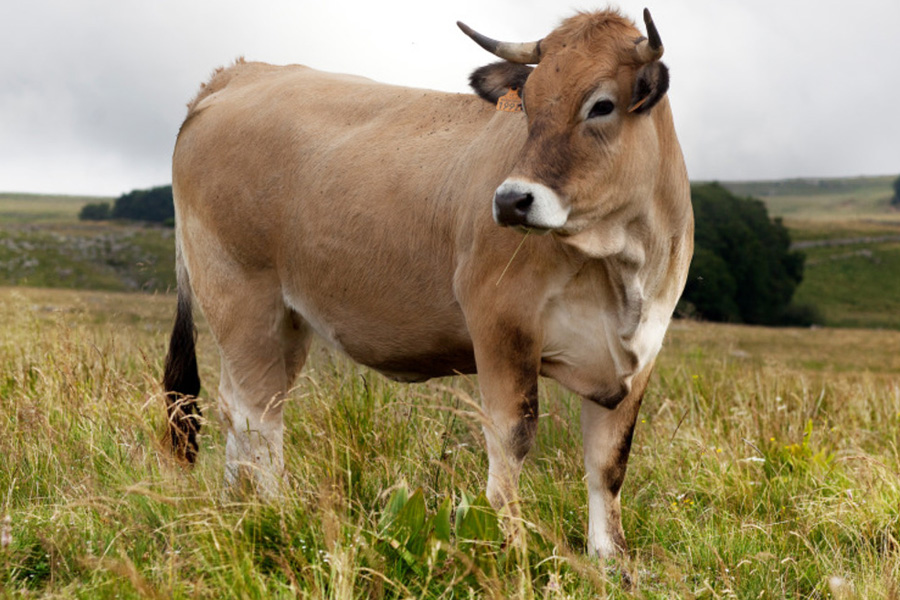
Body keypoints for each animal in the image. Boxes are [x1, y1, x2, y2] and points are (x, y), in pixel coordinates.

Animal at [163, 7, 696, 560]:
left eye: (602, 105)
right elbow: (511, 437)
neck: (621, 269)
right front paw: (509, 547)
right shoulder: (500, 323)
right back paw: (275, 516)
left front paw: (611, 561)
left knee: (244, 409)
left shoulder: (638, 354)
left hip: (285, 320)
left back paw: (238, 511)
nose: (510, 200)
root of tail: (241, 73)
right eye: (527, 105)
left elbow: (609, 463)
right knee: (255, 415)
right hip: (240, 296)